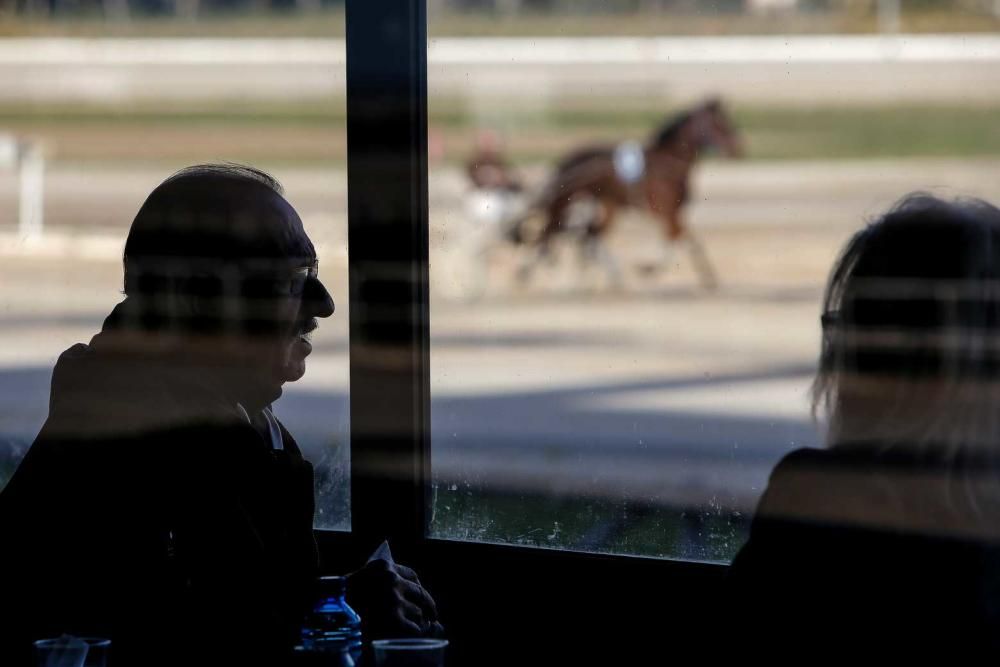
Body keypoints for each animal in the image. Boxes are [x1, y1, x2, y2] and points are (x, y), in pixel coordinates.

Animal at [516, 98, 744, 290]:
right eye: (720, 124)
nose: (737, 147)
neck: (667, 163)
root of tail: (565, 162)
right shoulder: (665, 211)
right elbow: (678, 237)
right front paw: (648, 268)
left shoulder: (672, 212)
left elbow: (687, 239)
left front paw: (708, 277)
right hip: (566, 203)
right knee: (550, 234)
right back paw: (532, 273)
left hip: (606, 206)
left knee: (588, 235)